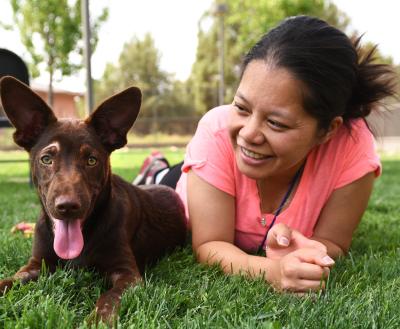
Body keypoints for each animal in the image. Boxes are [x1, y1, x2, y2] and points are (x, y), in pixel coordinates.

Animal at [0, 76, 188, 322]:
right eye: (46, 159)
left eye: (91, 160)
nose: (67, 206)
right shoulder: (35, 265)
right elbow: (8, 280)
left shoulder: (128, 274)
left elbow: (109, 298)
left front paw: (96, 321)